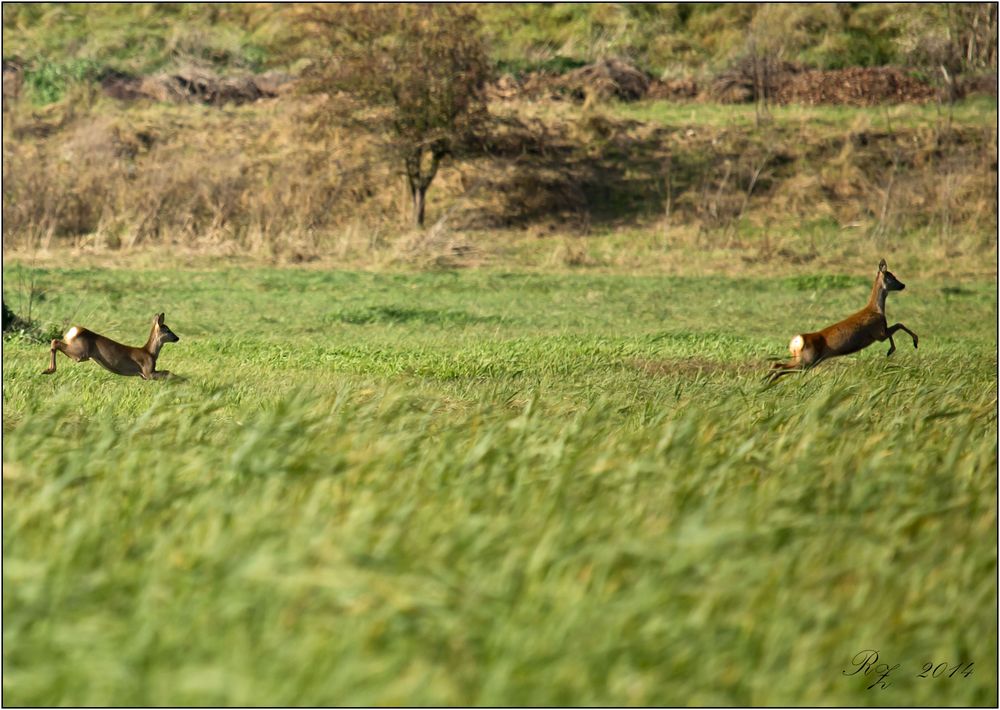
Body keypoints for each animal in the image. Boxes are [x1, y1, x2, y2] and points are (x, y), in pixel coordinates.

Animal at [42, 312, 181, 382]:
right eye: (168, 330)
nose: (177, 338)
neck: (150, 353)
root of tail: (74, 330)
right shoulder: (147, 372)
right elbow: (169, 373)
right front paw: (183, 380)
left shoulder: (144, 376)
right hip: (81, 354)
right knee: (55, 341)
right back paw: (49, 370)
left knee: (55, 341)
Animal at [768, 260, 916, 384]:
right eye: (892, 277)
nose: (903, 285)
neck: (876, 309)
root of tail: (797, 340)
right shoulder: (878, 332)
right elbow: (899, 325)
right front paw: (913, 342)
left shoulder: (881, 331)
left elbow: (896, 327)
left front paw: (891, 350)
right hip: (808, 360)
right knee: (780, 368)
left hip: (800, 358)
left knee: (777, 365)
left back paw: (766, 383)